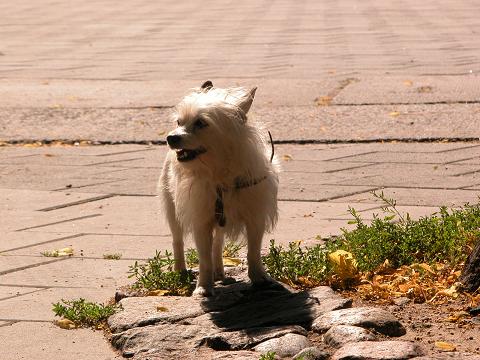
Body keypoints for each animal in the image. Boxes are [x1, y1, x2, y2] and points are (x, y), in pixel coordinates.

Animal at [159, 81, 280, 298]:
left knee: (217, 244)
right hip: (172, 210)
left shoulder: (255, 218)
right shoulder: (201, 220)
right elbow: (203, 258)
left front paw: (259, 278)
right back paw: (180, 270)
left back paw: (220, 272)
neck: (220, 173)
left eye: (200, 123)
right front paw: (203, 287)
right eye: (179, 122)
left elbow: (253, 251)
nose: (170, 137)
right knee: (177, 240)